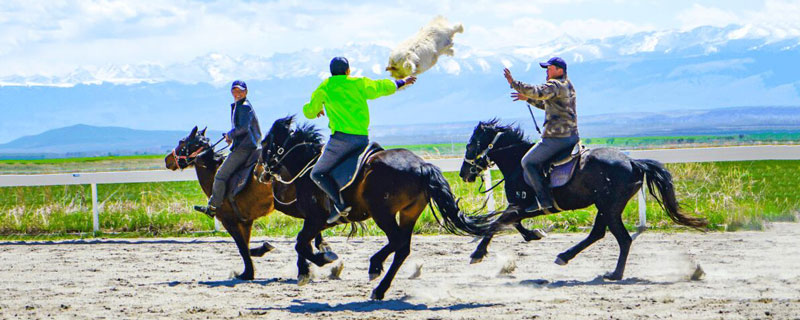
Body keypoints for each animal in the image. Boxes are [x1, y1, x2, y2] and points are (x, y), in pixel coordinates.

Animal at [165, 126, 332, 282]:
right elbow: (247, 247)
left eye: (182, 142)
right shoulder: (246, 222)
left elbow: (242, 248)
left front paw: (247, 273)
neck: (214, 173)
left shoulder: (229, 221)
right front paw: (262, 250)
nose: (168, 159)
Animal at [260, 115, 482, 300]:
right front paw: (307, 269)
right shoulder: (319, 222)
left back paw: (375, 266)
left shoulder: (316, 219)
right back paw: (380, 289)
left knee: (397, 241)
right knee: (402, 248)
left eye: (265, 143)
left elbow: (300, 242)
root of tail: (422, 166)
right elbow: (303, 242)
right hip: (409, 213)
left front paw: (320, 261)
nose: (263, 173)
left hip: (382, 213)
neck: (308, 168)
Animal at [456, 120, 708, 280]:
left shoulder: (523, 205)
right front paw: (534, 234)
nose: (463, 173)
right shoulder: (520, 207)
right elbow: (511, 222)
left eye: (470, 145)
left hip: (609, 207)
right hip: (606, 208)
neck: (518, 162)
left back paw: (613, 273)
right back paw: (569, 258)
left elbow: (497, 223)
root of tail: (633, 162)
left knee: (622, 239)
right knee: (599, 234)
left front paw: (477, 254)